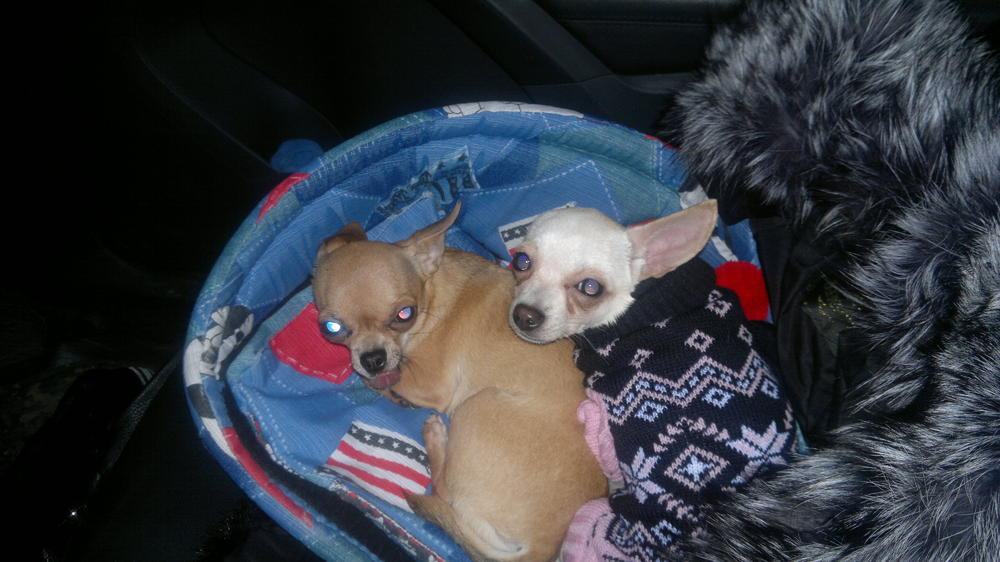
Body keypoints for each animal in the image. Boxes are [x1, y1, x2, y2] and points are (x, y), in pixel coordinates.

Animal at [312, 202, 607, 561]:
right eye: (331, 329)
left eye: (404, 314)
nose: (373, 358)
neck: (433, 289)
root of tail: (544, 546)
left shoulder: (430, 384)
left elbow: (380, 380)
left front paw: (385, 385)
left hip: (476, 405)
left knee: (443, 492)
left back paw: (435, 438)